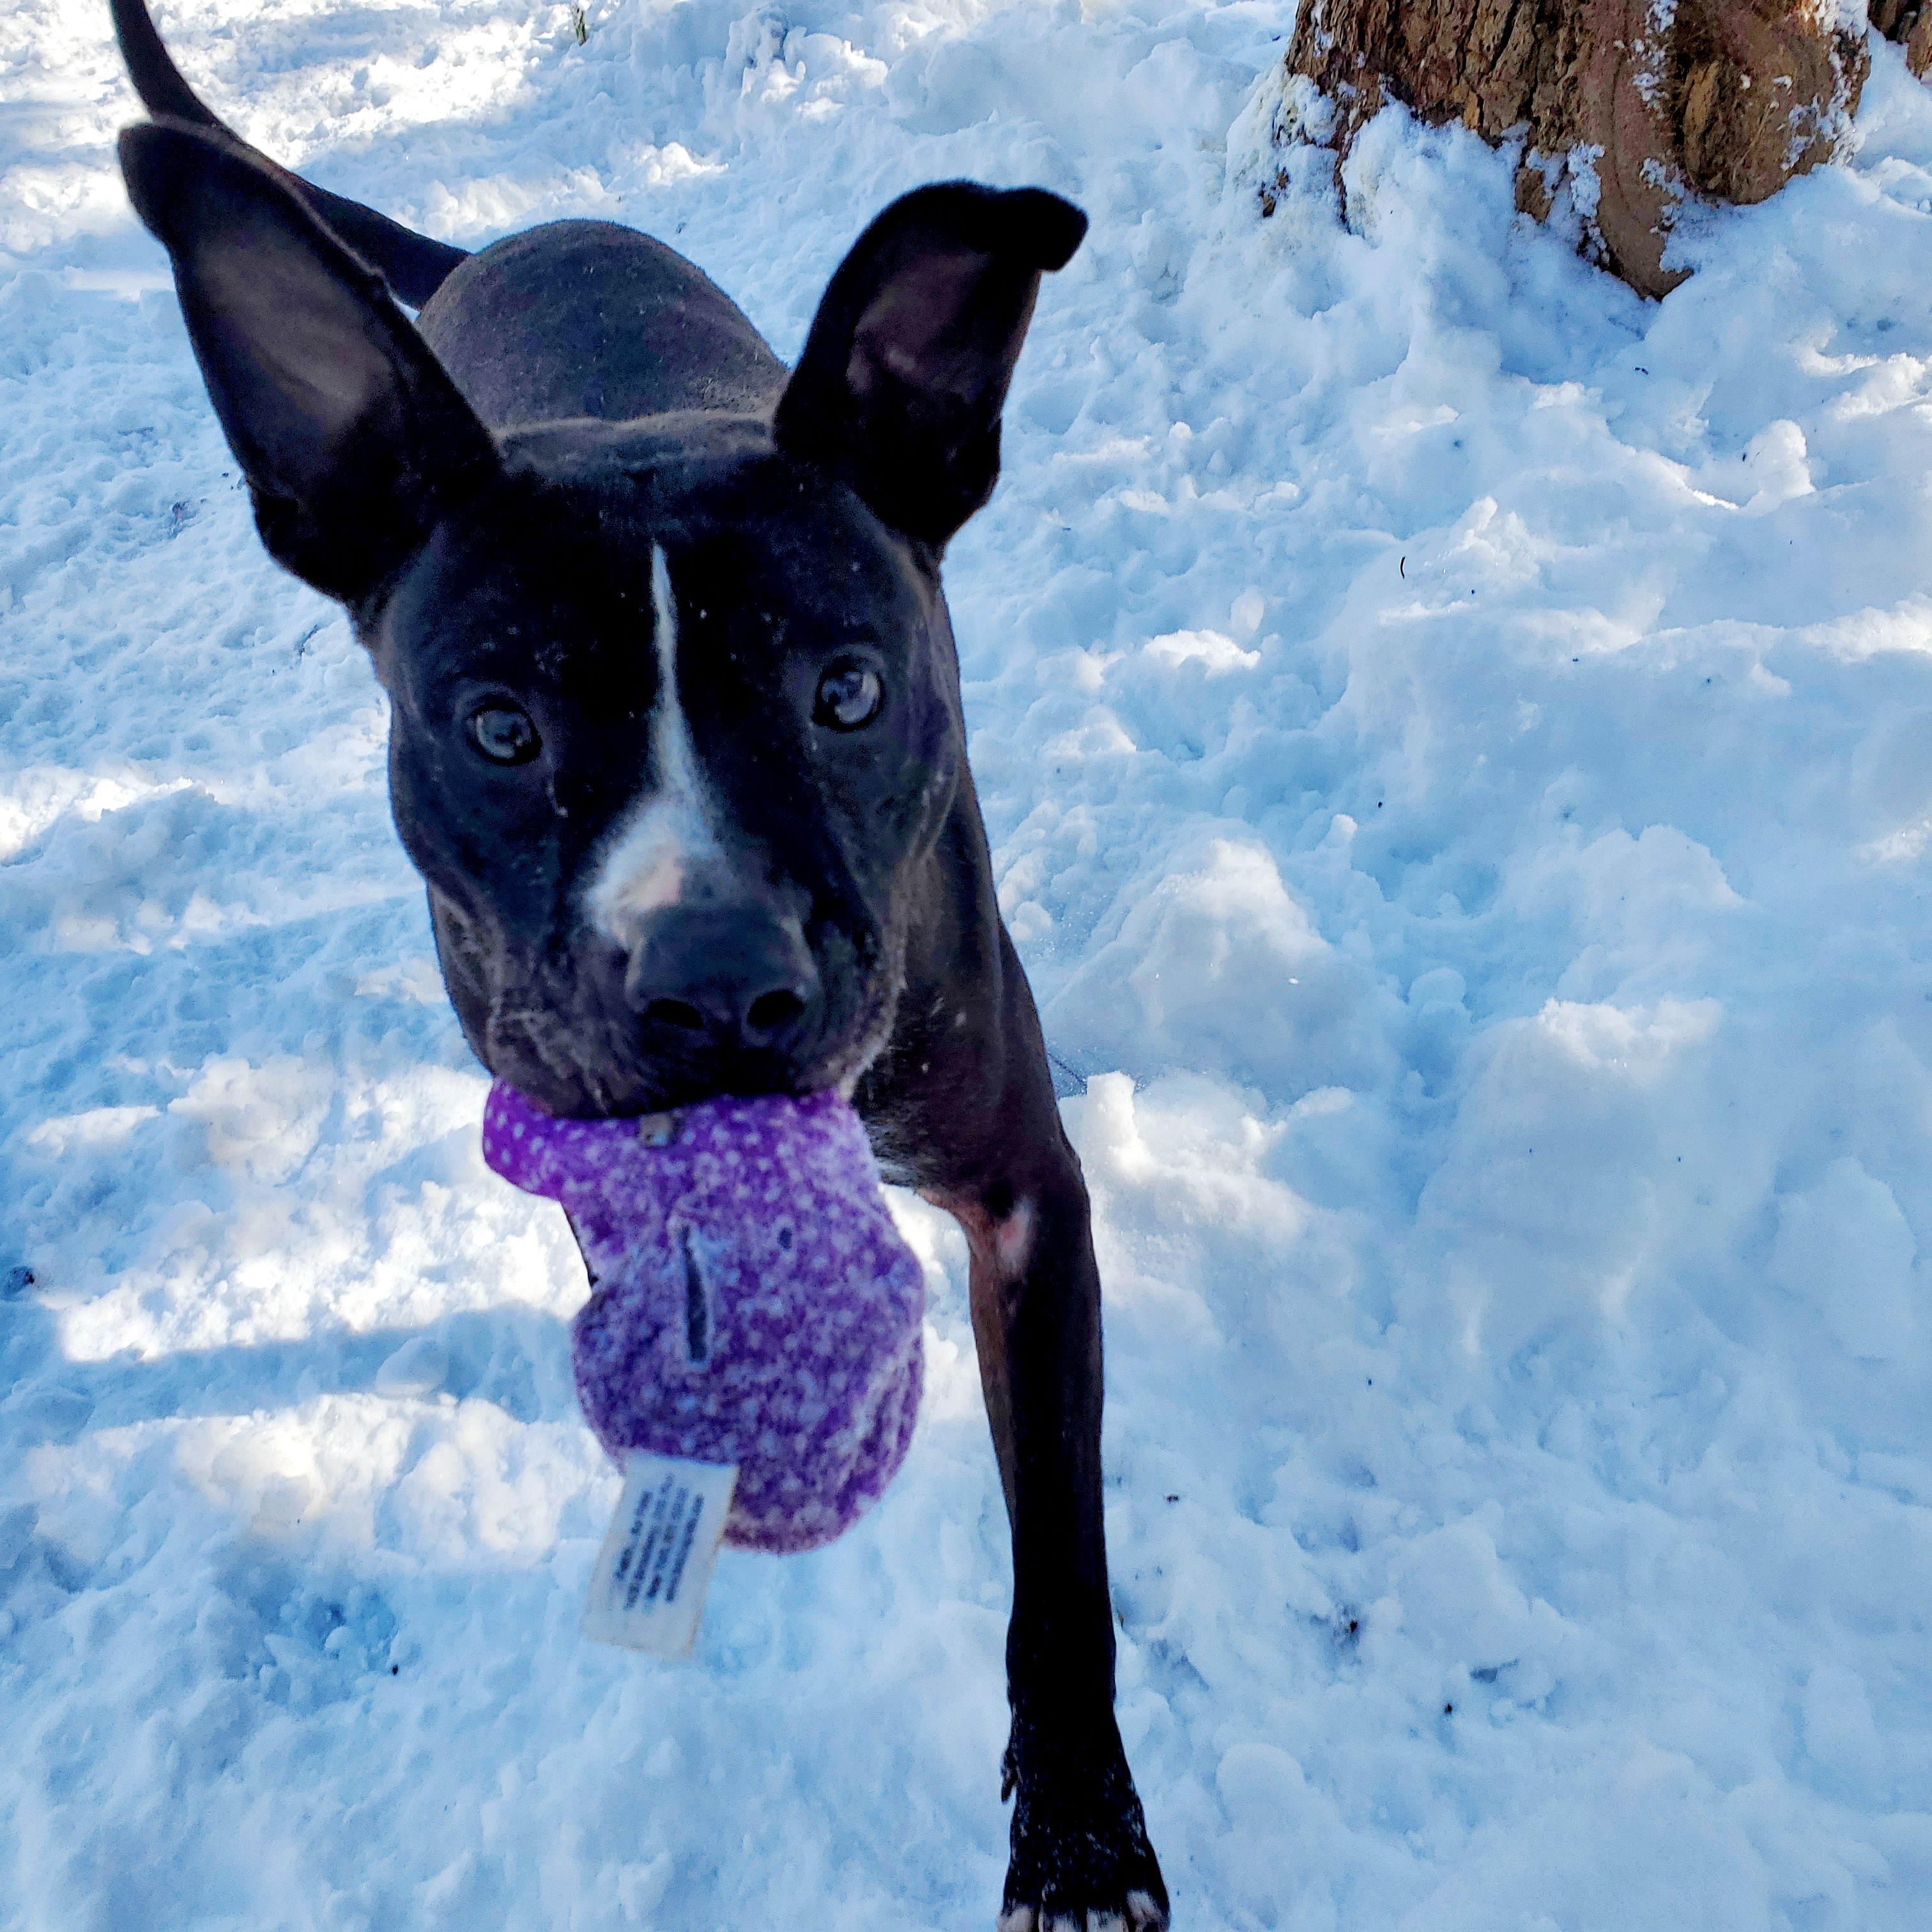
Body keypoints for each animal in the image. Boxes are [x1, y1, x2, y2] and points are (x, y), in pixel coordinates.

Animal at [116, 7, 1159, 1924]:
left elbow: (1060, 1562)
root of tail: (502, 242)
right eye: (500, 727)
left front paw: (1079, 1837)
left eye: (848, 689)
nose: (719, 989)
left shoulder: (1024, 1196)